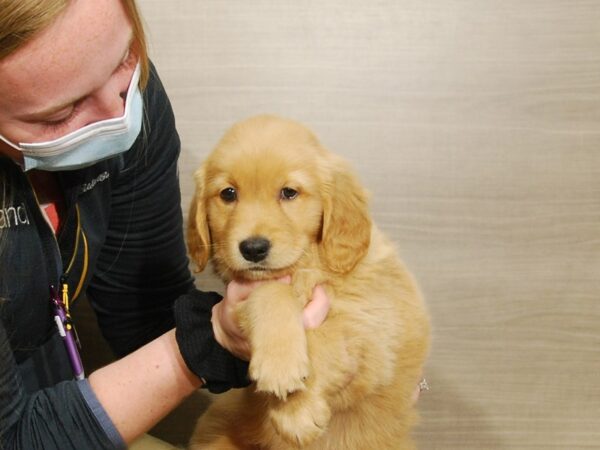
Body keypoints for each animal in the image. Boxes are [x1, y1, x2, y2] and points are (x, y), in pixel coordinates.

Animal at [188, 114, 432, 448]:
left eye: (289, 192)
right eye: (228, 193)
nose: (253, 248)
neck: (308, 266)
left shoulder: (372, 335)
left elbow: (322, 337)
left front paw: (293, 406)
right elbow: (270, 293)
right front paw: (282, 368)